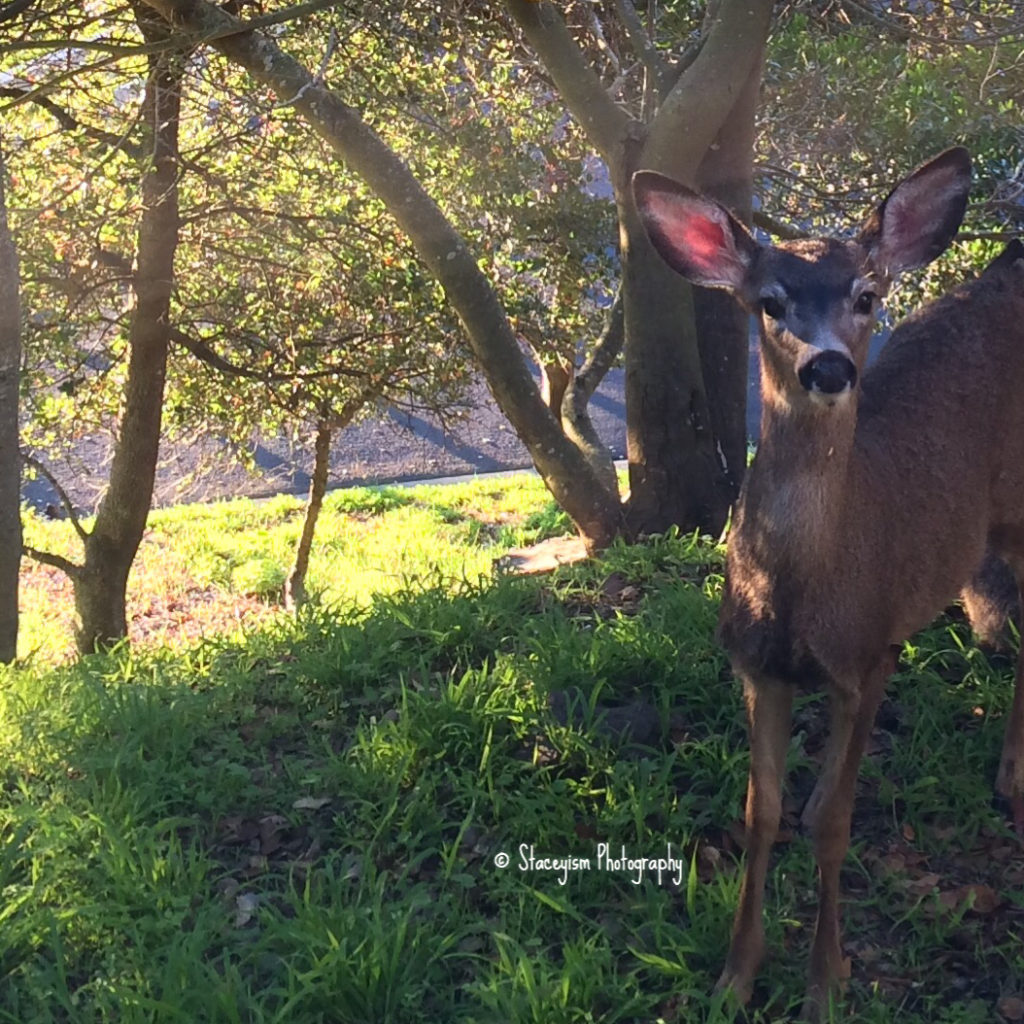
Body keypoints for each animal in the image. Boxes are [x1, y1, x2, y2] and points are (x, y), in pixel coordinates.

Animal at [631, 148, 1024, 1020]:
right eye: (769, 301)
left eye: (866, 296)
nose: (831, 367)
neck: (805, 596)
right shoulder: (756, 667)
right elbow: (761, 814)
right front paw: (735, 976)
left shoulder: (870, 657)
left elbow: (838, 827)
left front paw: (825, 980)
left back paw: (1013, 778)